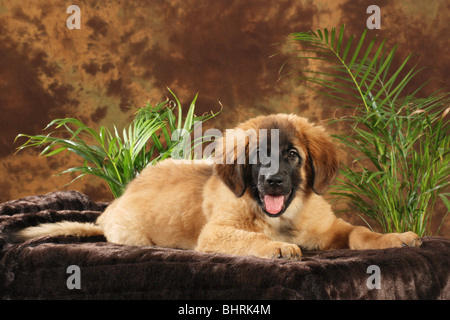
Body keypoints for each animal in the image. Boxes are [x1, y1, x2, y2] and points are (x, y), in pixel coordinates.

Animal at [14, 114, 422, 258]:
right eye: (258, 156)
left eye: (292, 154)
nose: (273, 181)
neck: (283, 218)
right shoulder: (214, 234)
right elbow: (250, 238)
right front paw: (277, 247)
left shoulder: (330, 228)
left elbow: (360, 233)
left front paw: (396, 237)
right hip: (132, 235)